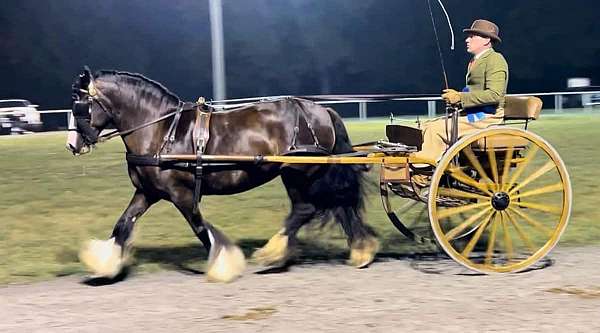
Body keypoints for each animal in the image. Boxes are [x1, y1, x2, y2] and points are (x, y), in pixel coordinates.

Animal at [68, 68, 378, 282]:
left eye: (80, 105)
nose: (73, 145)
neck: (163, 130)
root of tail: (322, 110)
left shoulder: (180, 194)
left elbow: (200, 228)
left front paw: (223, 265)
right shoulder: (147, 192)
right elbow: (122, 226)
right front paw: (104, 264)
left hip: (297, 173)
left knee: (305, 209)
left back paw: (272, 252)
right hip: (307, 175)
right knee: (336, 205)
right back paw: (360, 250)